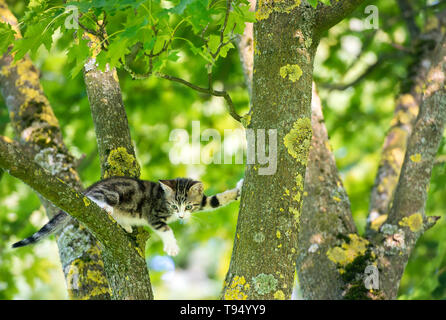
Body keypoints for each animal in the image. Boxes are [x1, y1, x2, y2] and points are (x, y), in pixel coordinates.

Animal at [12, 176, 244, 256]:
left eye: (187, 206)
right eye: (172, 205)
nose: (180, 217)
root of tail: (90, 186)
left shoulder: (202, 201)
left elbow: (215, 200)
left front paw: (239, 189)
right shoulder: (153, 214)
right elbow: (164, 228)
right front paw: (172, 245)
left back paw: (125, 225)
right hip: (112, 193)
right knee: (94, 198)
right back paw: (106, 208)